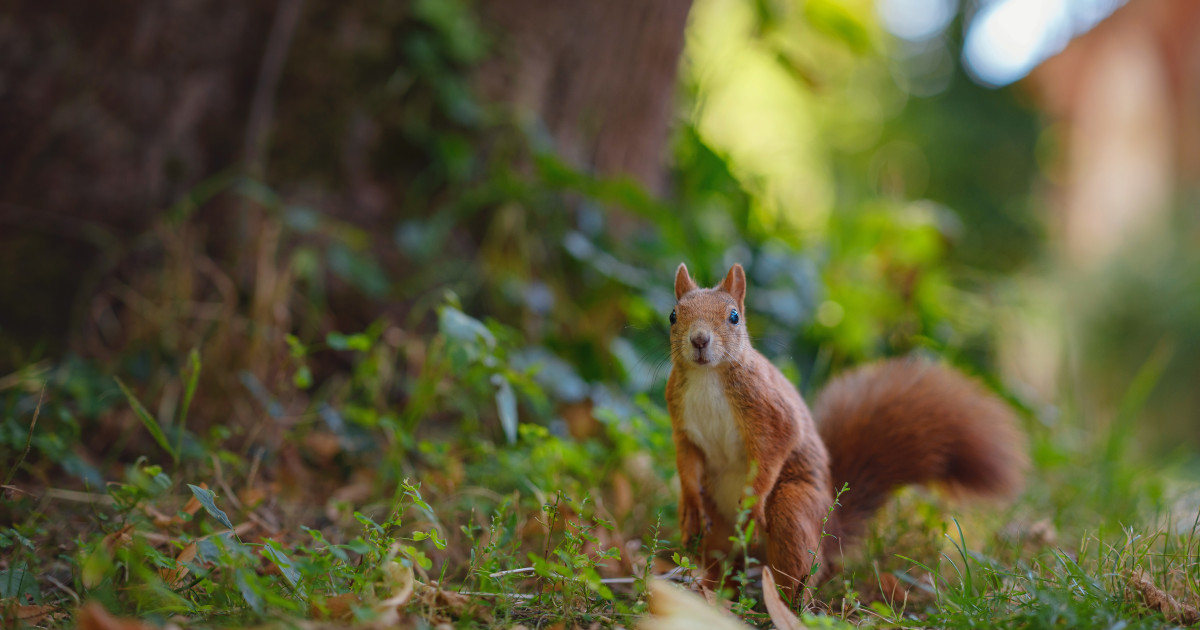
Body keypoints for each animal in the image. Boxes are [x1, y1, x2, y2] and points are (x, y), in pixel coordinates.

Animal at [665, 263, 1026, 600]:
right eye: (673, 315)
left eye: (734, 317)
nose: (699, 340)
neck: (707, 377)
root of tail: (833, 534)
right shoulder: (682, 426)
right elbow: (685, 462)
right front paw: (689, 502)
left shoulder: (772, 412)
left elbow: (775, 449)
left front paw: (753, 503)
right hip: (716, 525)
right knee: (722, 564)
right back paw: (710, 592)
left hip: (794, 509)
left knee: (800, 572)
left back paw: (783, 604)